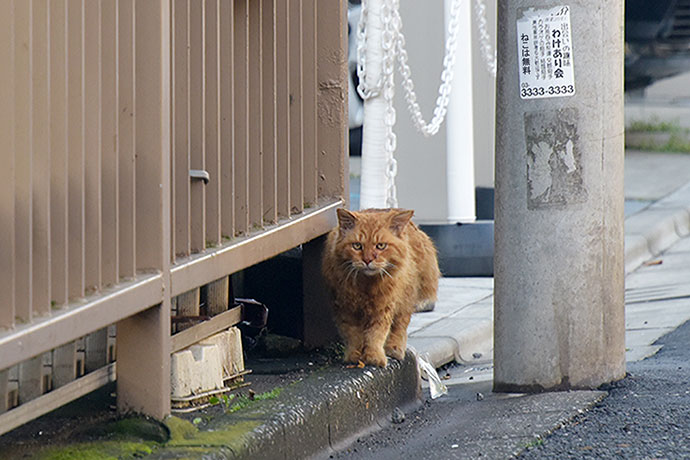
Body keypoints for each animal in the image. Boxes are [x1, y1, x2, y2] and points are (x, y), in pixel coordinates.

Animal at [322, 208, 438, 366]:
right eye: (357, 246)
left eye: (380, 246)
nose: (367, 260)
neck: (365, 285)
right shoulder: (344, 309)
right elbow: (353, 335)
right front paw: (354, 356)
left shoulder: (383, 307)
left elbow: (376, 334)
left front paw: (374, 357)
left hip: (405, 301)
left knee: (399, 328)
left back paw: (394, 349)